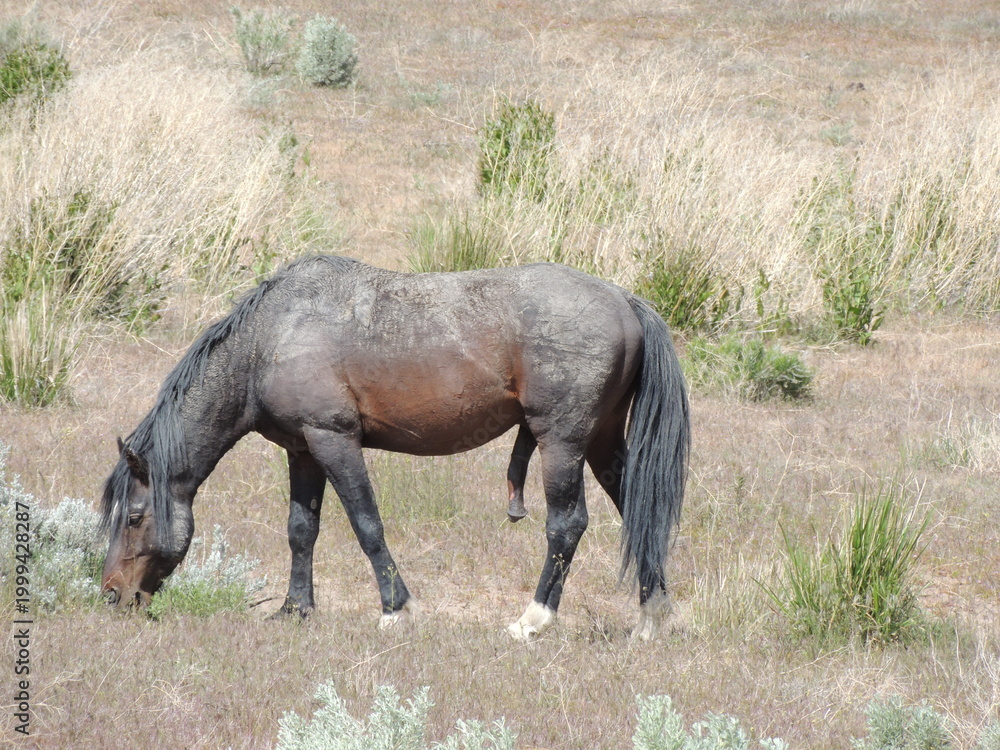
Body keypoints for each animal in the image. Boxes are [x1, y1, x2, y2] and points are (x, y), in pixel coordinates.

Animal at [100, 255, 689, 640]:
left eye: (133, 517)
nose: (111, 594)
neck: (270, 339)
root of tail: (624, 300)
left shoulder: (334, 440)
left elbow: (367, 524)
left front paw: (394, 608)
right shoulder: (303, 450)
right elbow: (301, 531)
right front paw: (294, 610)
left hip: (562, 442)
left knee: (567, 525)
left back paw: (534, 619)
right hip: (601, 441)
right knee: (637, 511)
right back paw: (652, 617)